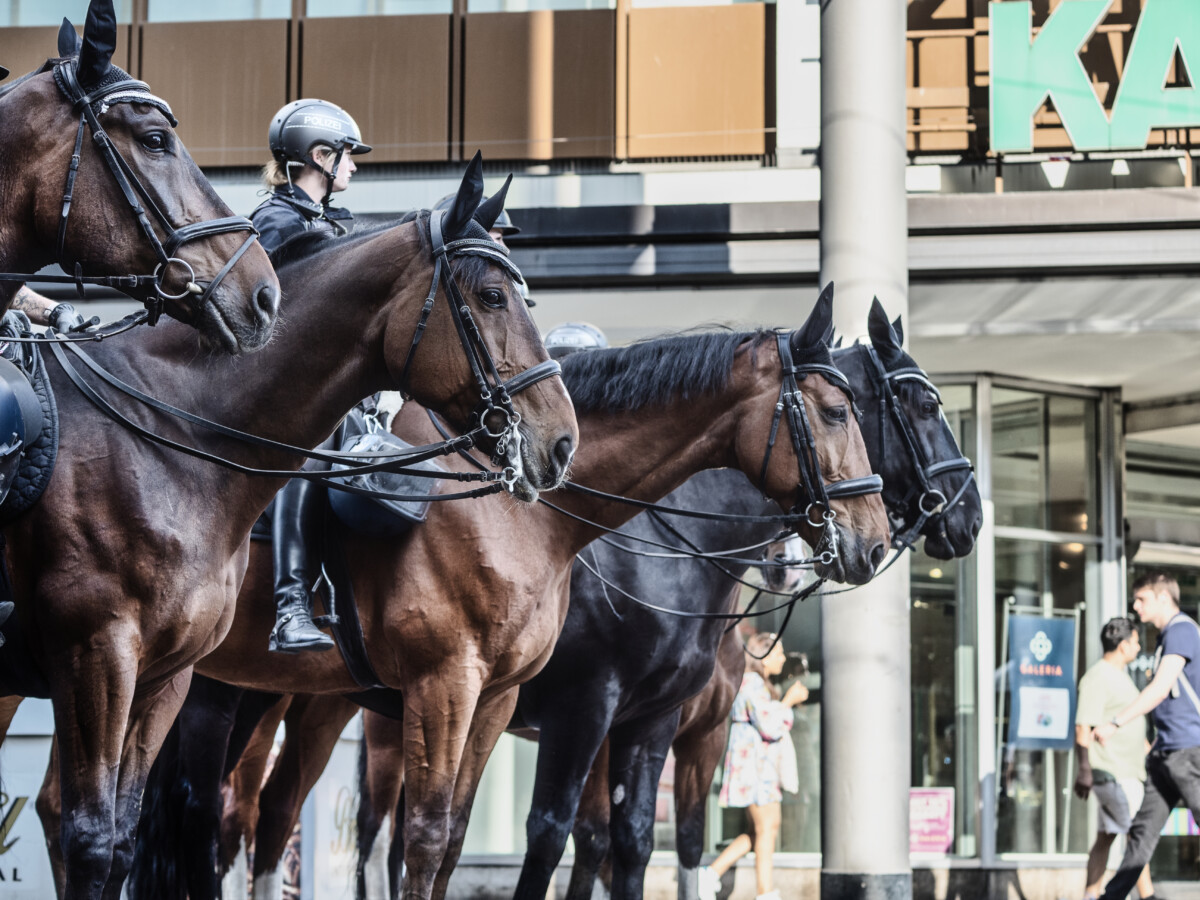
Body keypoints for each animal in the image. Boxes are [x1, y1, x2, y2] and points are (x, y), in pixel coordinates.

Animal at [126, 286, 892, 900]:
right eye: (836, 412)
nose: (875, 541)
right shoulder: (556, 704)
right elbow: (533, 834)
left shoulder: (619, 718)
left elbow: (606, 840)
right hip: (220, 692)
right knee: (205, 813)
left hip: (297, 701)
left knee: (259, 811)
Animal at [350, 304, 984, 900]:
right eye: (926, 405)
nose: (971, 516)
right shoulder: (584, 710)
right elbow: (556, 835)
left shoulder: (674, 729)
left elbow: (643, 841)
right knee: (378, 837)